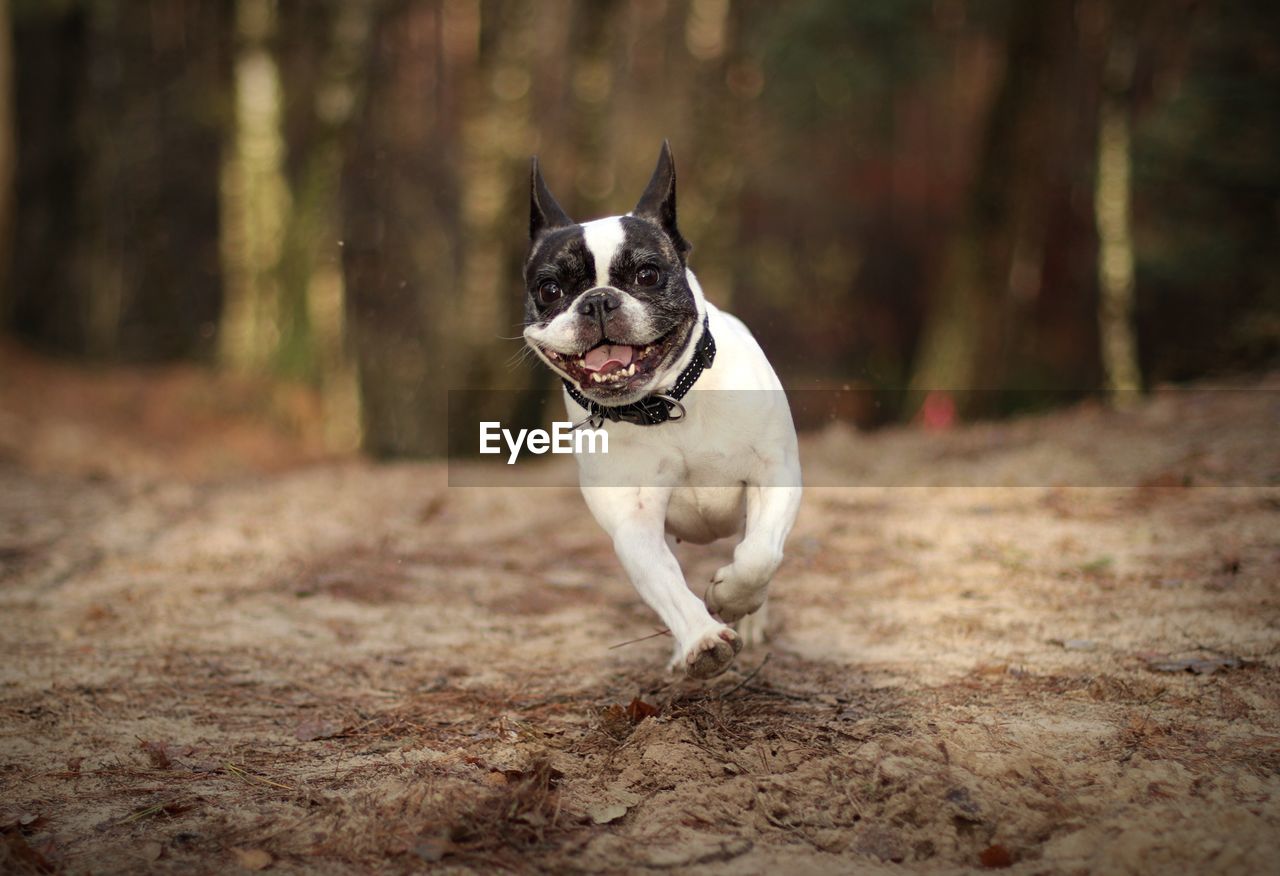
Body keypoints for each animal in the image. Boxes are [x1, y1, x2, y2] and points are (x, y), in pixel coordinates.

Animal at [519, 142, 798, 676]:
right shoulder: (634, 523)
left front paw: (732, 596)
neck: (665, 404)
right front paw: (702, 640)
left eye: (647, 274)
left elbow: (759, 554)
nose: (598, 301)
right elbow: (665, 582)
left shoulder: (775, 475)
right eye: (550, 289)